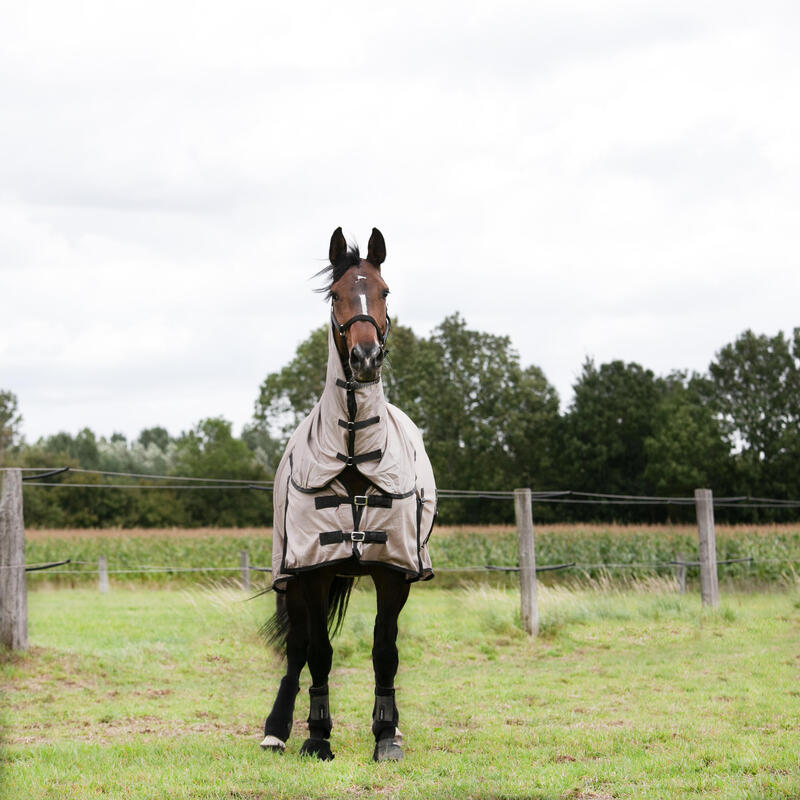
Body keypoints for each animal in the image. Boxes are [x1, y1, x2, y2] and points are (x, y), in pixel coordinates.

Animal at [260, 227, 437, 762]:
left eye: (384, 291)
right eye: (336, 294)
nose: (364, 358)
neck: (356, 453)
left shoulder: (393, 573)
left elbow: (385, 651)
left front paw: (386, 733)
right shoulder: (313, 571)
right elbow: (318, 651)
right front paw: (317, 736)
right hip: (293, 577)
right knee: (298, 647)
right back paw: (276, 729)